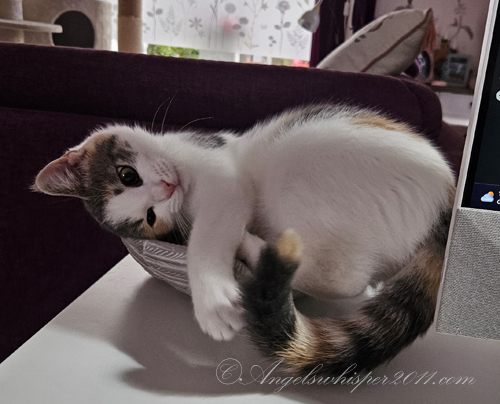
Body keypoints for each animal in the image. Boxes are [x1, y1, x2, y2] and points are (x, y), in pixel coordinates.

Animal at [34, 105, 455, 375]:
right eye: (150, 218)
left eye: (127, 174)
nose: (167, 188)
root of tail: (448, 198)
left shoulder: (223, 181)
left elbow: (206, 236)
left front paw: (211, 300)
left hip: (297, 163)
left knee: (343, 279)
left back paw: (256, 249)